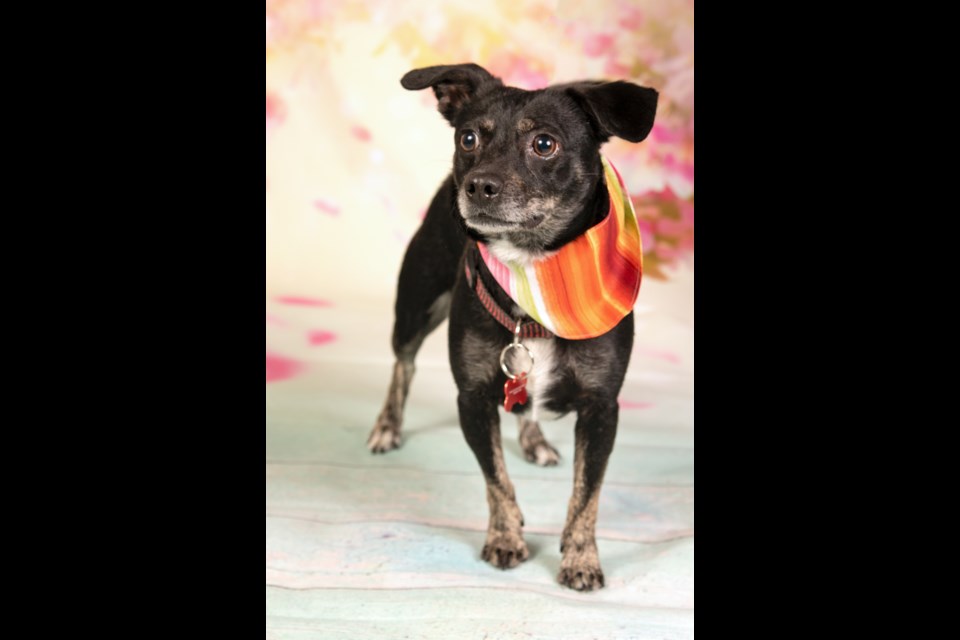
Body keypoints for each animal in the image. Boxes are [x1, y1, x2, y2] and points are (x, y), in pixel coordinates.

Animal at [368, 63, 660, 592]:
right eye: (468, 138)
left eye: (544, 144)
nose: (478, 185)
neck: (532, 271)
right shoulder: (472, 398)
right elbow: (496, 480)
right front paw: (505, 538)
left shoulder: (602, 407)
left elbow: (587, 495)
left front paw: (581, 559)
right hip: (416, 303)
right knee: (403, 364)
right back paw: (386, 427)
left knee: (525, 401)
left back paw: (535, 439)